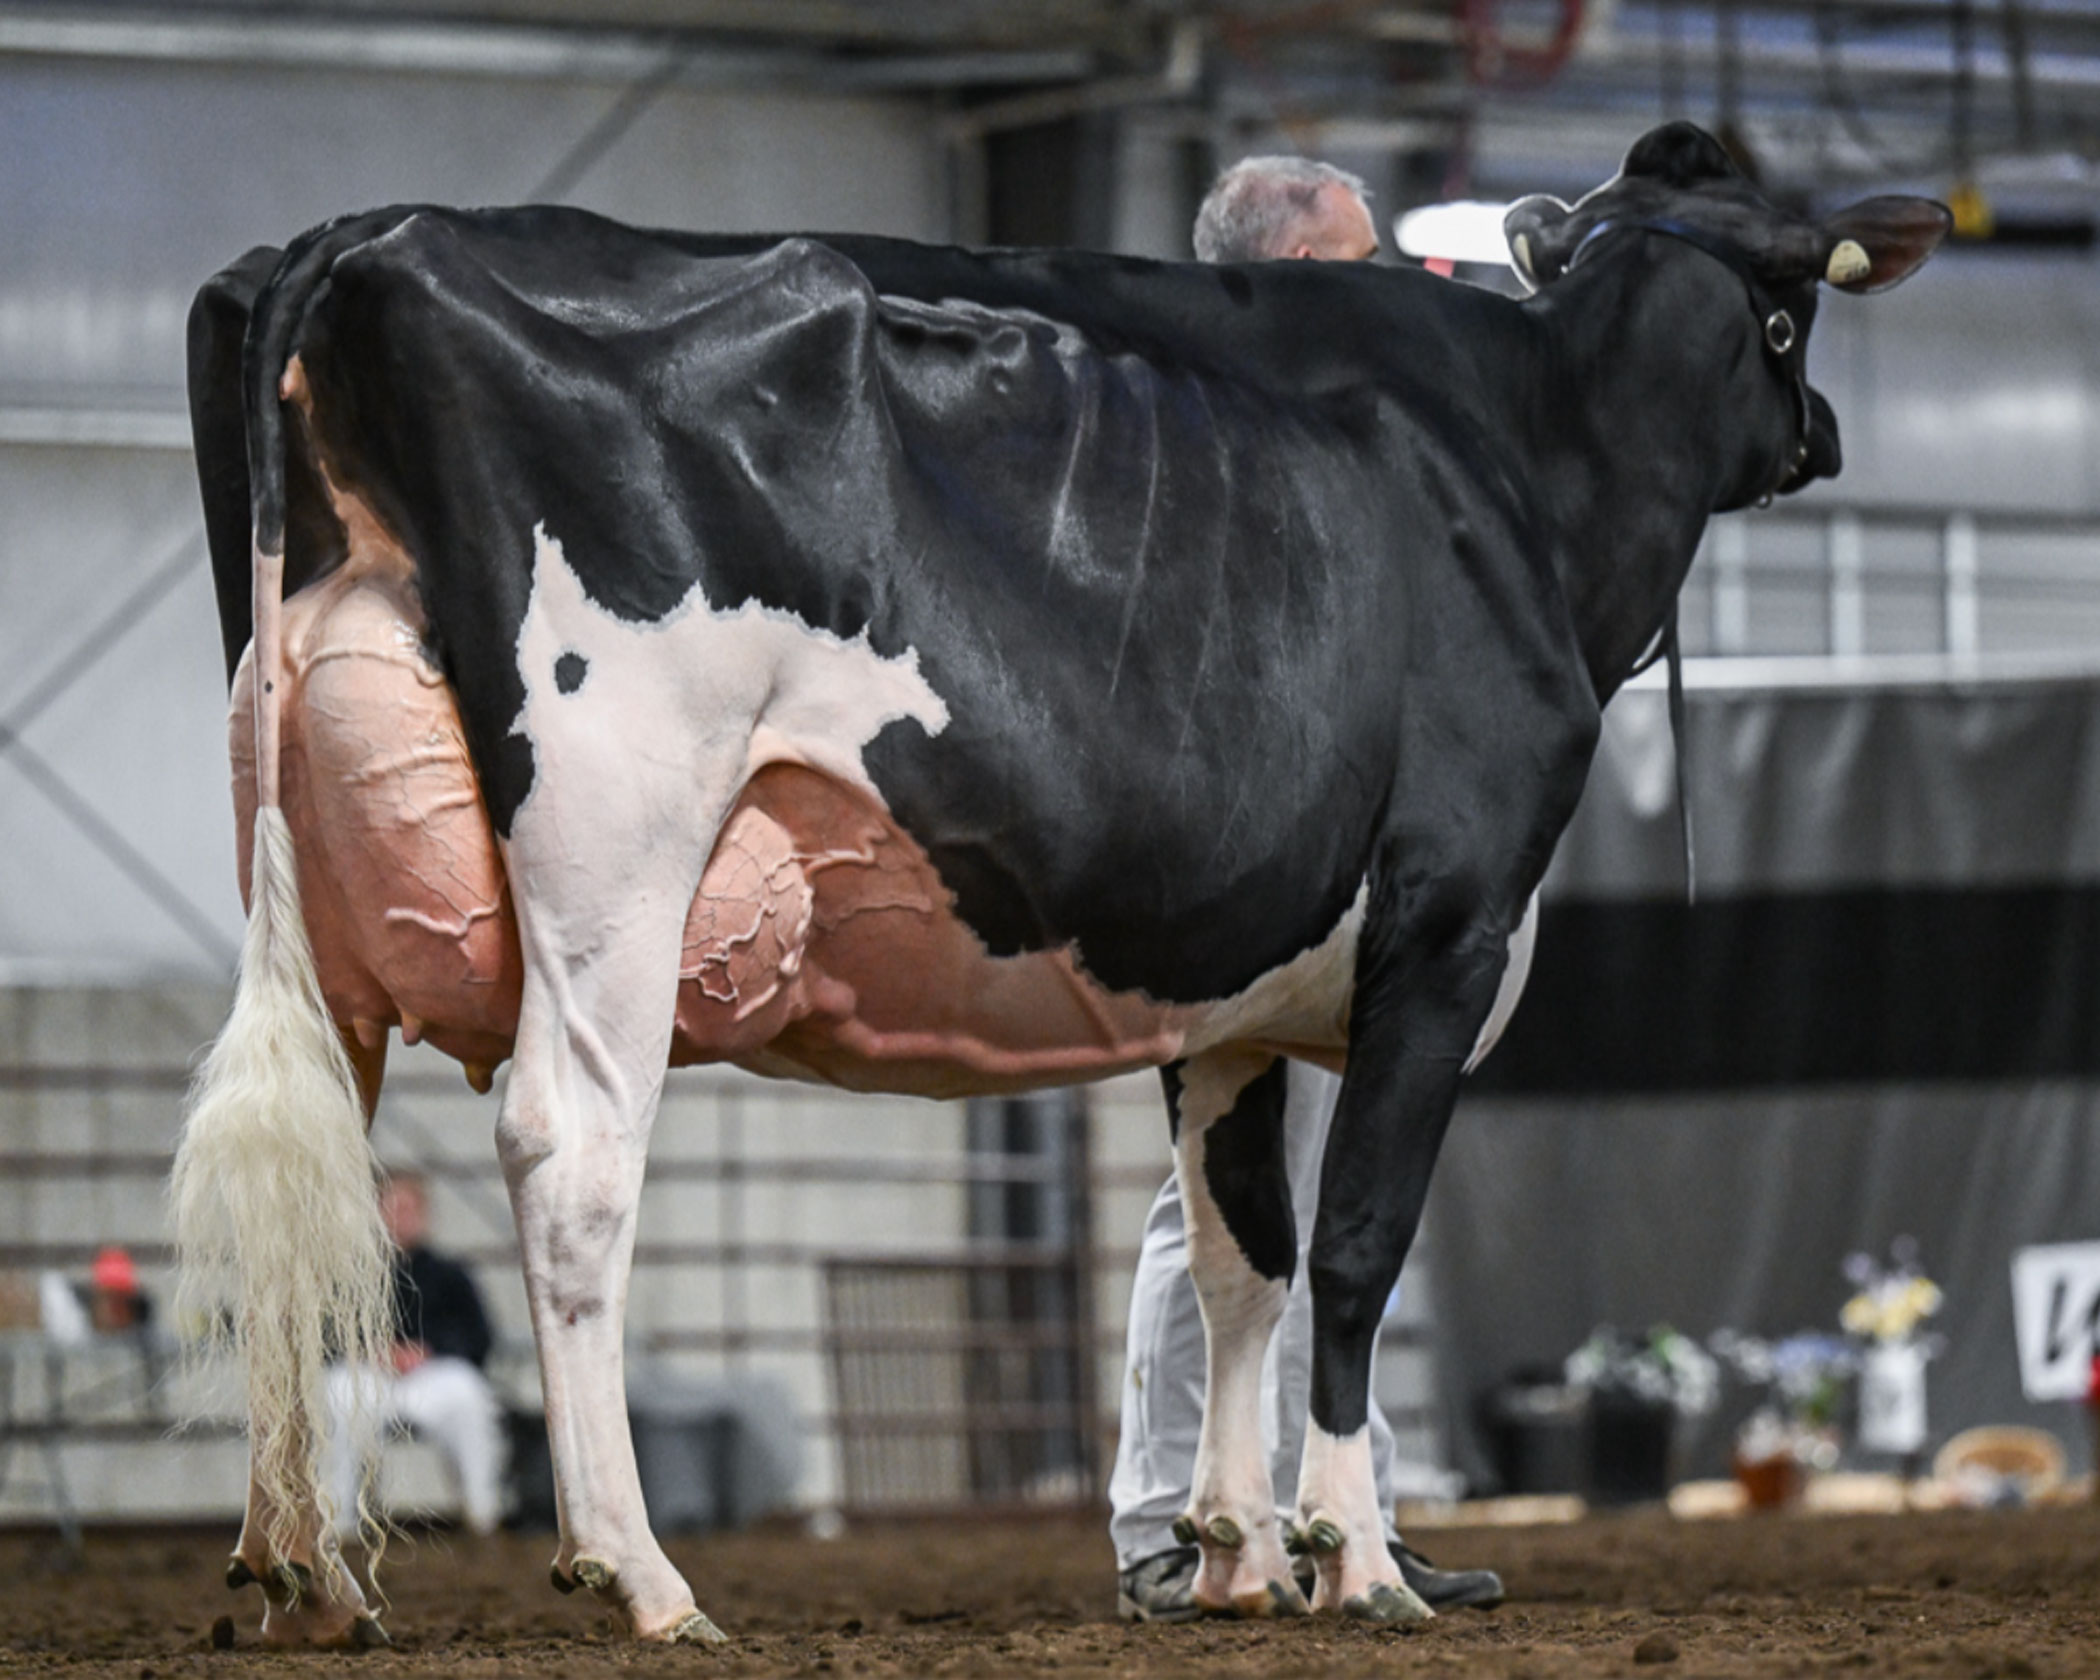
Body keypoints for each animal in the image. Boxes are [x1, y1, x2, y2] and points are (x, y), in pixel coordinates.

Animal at [172, 124, 1940, 1646]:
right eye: (1790, 309)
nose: (1830, 436)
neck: (1522, 470)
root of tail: (361, 235)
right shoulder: (1445, 931)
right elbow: (1355, 1250)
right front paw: (1360, 1559)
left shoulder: (1228, 995)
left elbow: (1240, 1258)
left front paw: (1235, 1552)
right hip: (616, 830)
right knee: (568, 1150)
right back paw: (638, 1572)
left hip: (309, 869)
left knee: (309, 1155)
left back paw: (305, 1567)